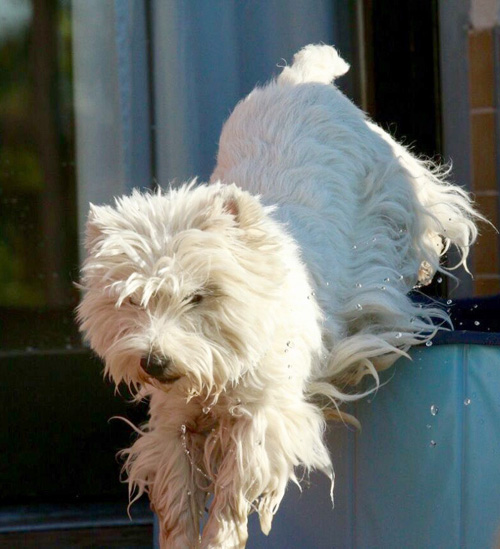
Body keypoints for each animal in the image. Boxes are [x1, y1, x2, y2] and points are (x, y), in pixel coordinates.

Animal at [77, 45, 480, 544]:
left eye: (198, 296)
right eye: (131, 301)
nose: (154, 361)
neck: (220, 365)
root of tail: (300, 79)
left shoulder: (265, 416)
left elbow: (235, 492)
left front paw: (220, 538)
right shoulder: (174, 421)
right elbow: (177, 492)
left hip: (396, 191)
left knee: (425, 225)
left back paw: (420, 266)